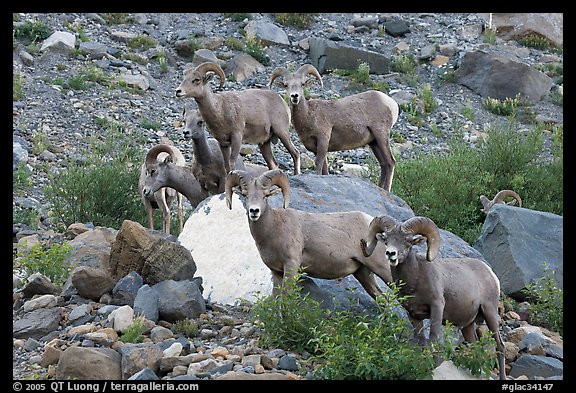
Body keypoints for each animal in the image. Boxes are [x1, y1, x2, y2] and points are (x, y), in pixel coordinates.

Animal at [270, 64, 400, 191]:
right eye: (286, 85)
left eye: (302, 84)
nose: (295, 96)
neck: (309, 115)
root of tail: (391, 103)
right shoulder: (318, 148)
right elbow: (325, 168)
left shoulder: (323, 140)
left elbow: (318, 164)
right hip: (374, 143)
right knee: (384, 164)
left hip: (381, 135)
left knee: (390, 162)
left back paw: (386, 190)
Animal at [362, 214, 506, 380]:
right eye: (386, 239)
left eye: (408, 241)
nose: (390, 254)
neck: (416, 279)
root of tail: (490, 273)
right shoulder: (413, 315)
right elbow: (421, 342)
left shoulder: (436, 308)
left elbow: (434, 340)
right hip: (468, 325)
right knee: (475, 346)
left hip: (490, 313)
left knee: (500, 346)